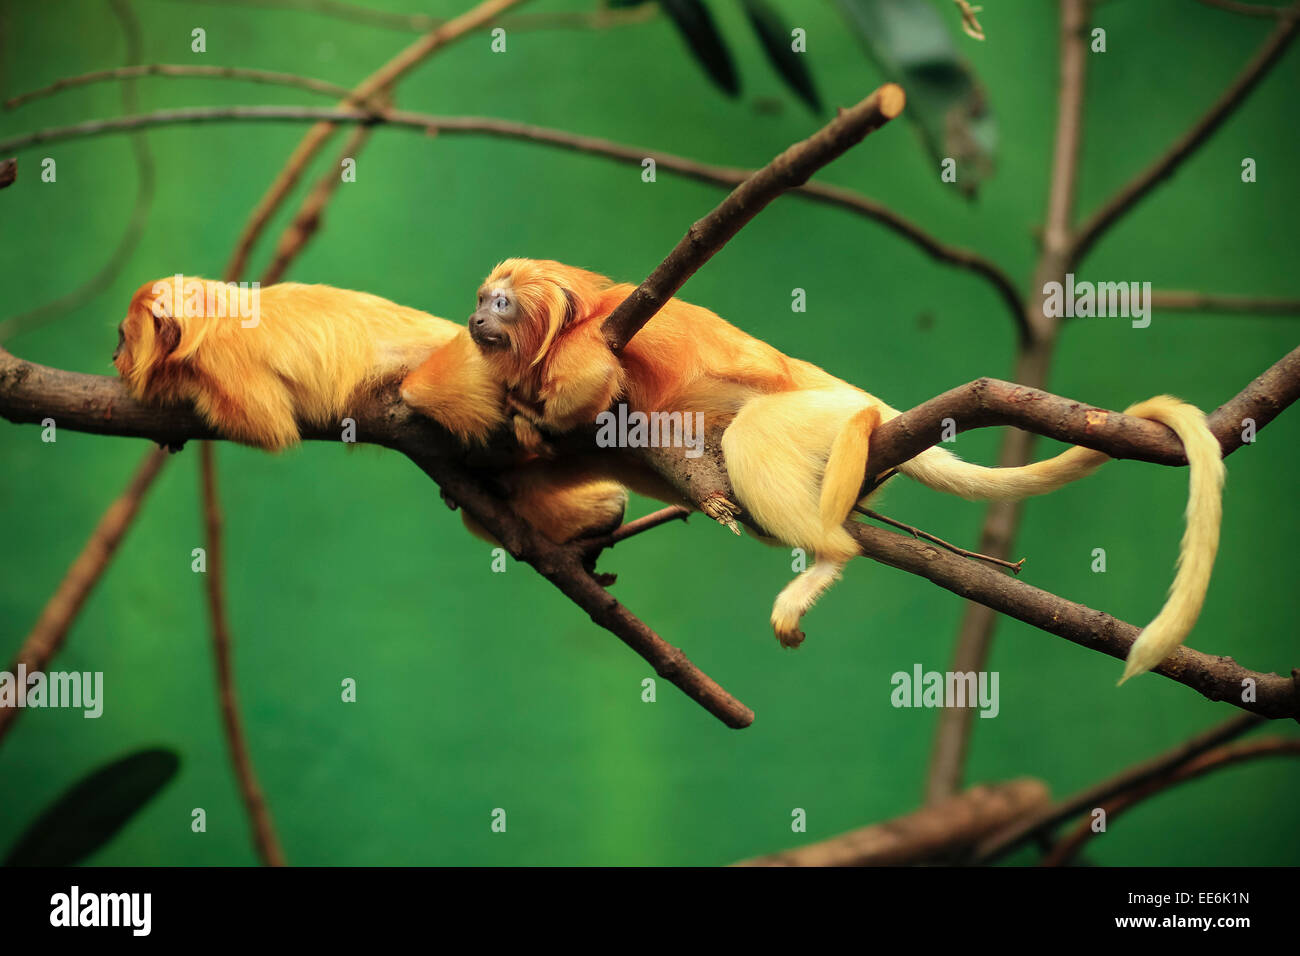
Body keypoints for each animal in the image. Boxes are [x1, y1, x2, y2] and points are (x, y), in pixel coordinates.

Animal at [114, 277, 626, 546]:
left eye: (122, 336)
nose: (113, 355)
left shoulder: (223, 359)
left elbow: (266, 423)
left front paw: (173, 387)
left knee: (422, 390)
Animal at [436, 257, 1227, 686]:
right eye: (479, 302)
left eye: (499, 302)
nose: (478, 319)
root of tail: (853, 393)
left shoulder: (593, 338)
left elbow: (589, 386)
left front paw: (537, 410)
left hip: (813, 413)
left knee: (766, 434)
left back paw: (829, 551)